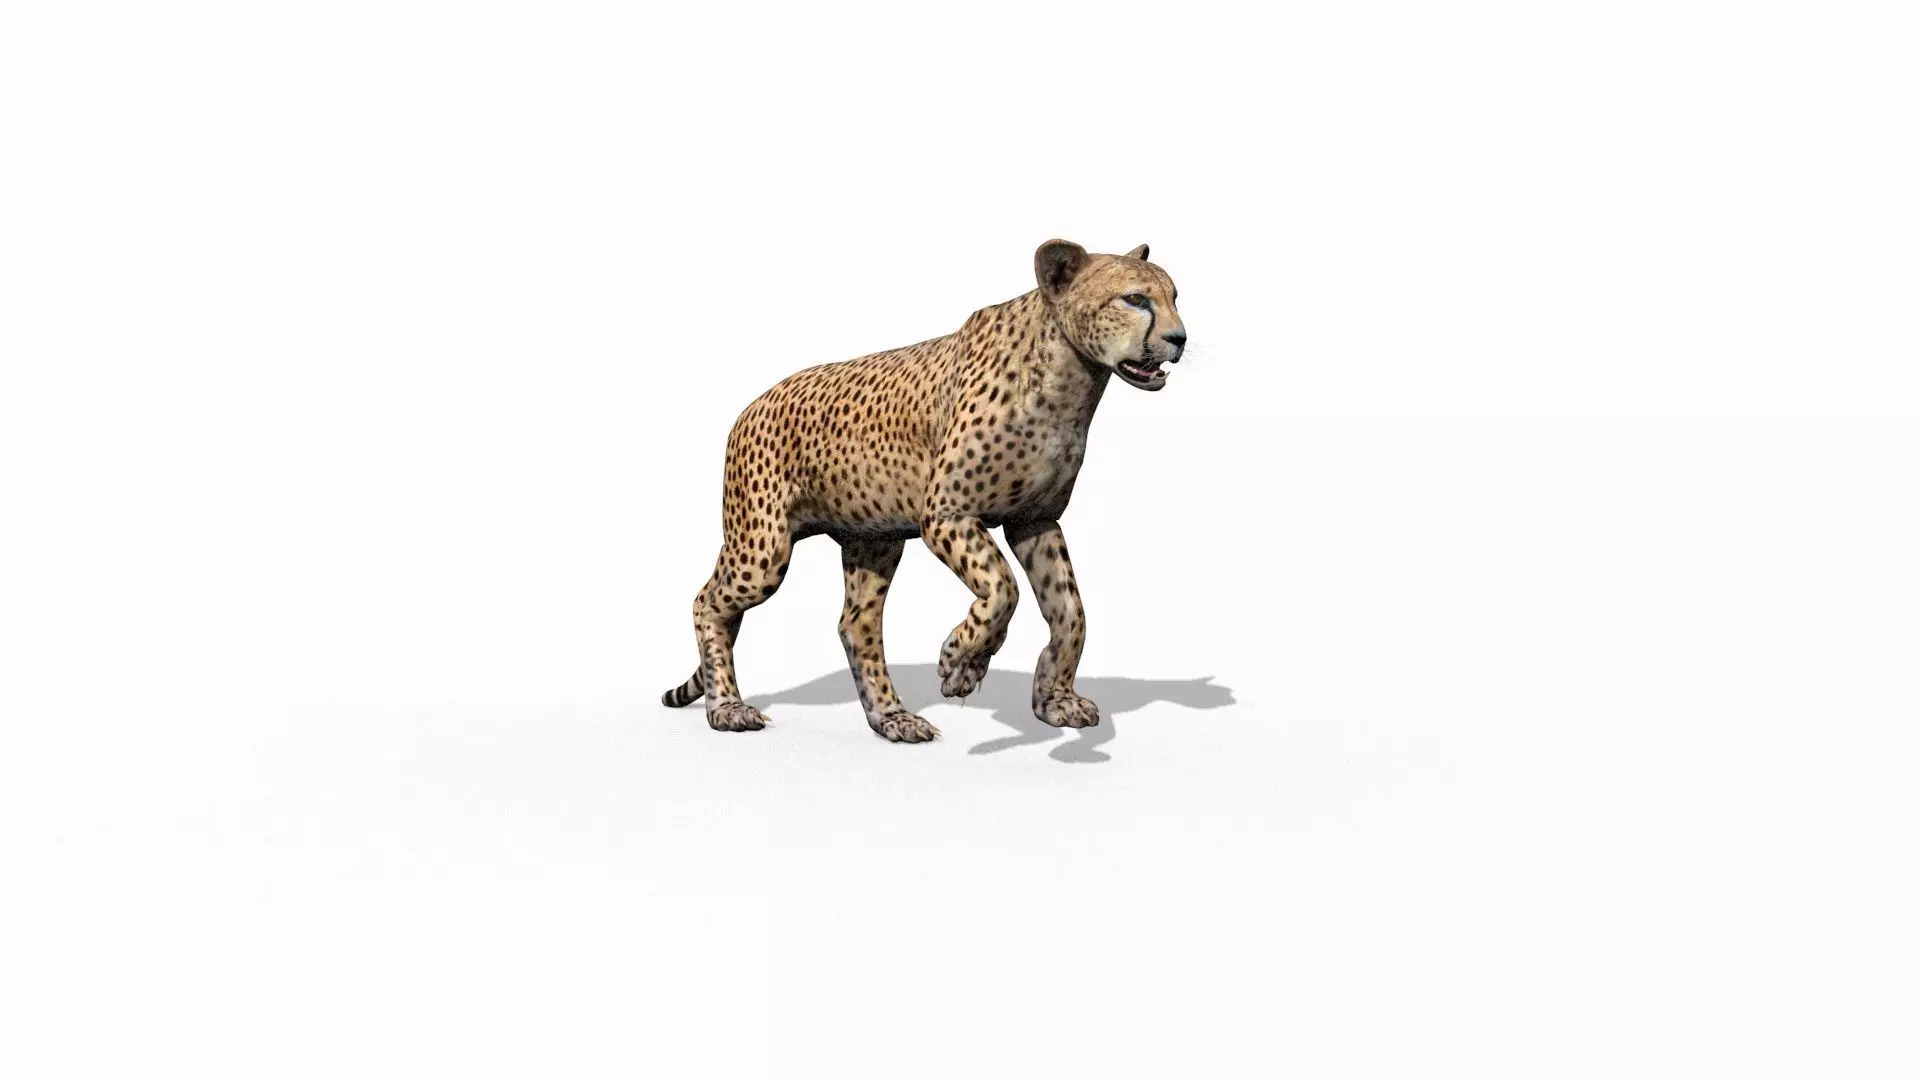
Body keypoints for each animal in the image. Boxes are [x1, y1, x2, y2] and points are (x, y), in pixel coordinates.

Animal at [660, 239, 1188, 742]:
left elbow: (1071, 610)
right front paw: (960, 662)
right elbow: (1003, 587)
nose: (1179, 338)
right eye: (1135, 299)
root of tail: (751, 406)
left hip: (874, 539)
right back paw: (727, 708)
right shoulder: (946, 514)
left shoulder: (1034, 520)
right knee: (707, 602)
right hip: (763, 549)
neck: (1071, 380)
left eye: (1174, 297)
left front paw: (1053, 700)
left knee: (856, 625)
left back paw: (892, 719)